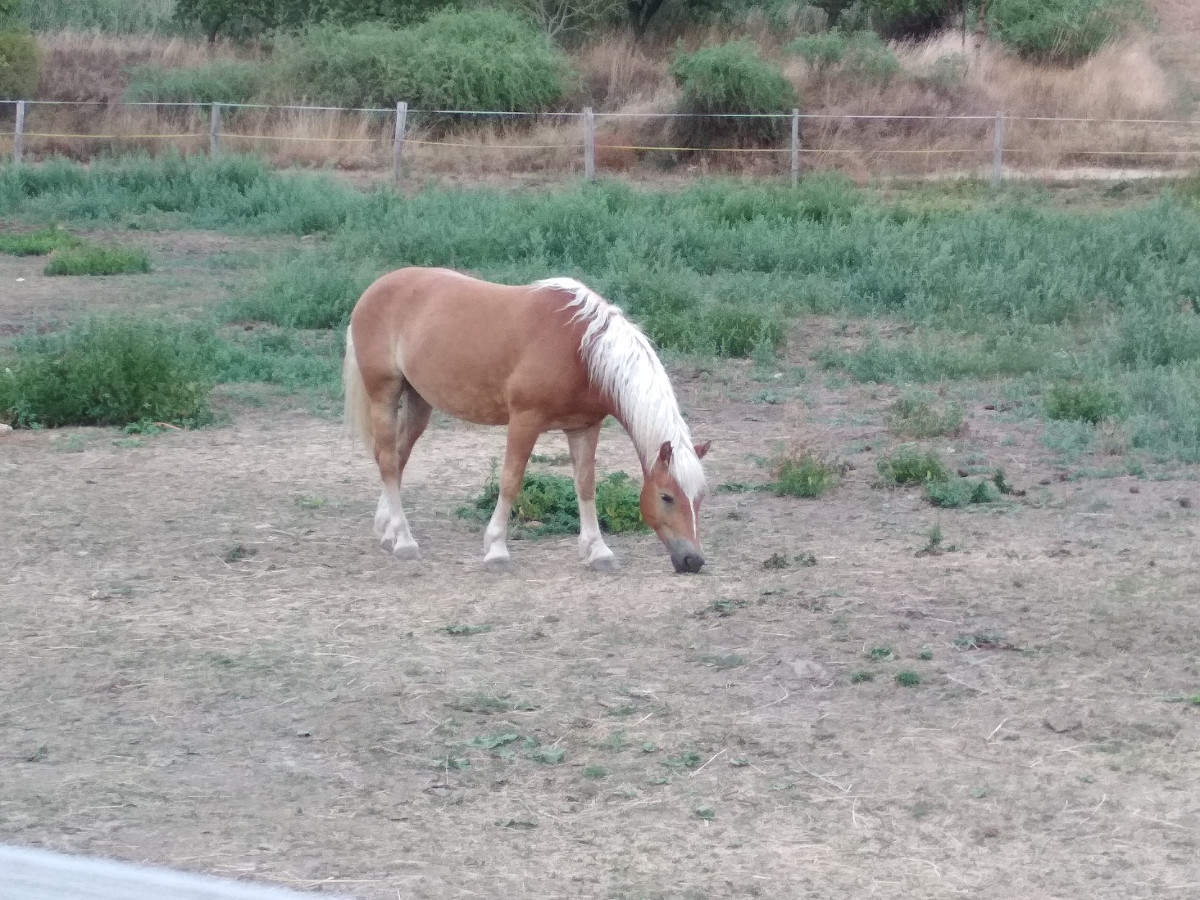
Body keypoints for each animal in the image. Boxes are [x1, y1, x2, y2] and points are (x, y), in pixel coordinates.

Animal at [342, 267, 711, 574]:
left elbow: (586, 485)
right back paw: (404, 541)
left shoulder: (584, 427)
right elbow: (510, 481)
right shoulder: (524, 421)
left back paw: (387, 530)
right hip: (384, 395)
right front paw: (496, 550)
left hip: (419, 402)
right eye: (666, 497)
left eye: (699, 497)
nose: (693, 561)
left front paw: (598, 551)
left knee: (398, 456)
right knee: (388, 460)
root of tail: (374, 289)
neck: (581, 349)